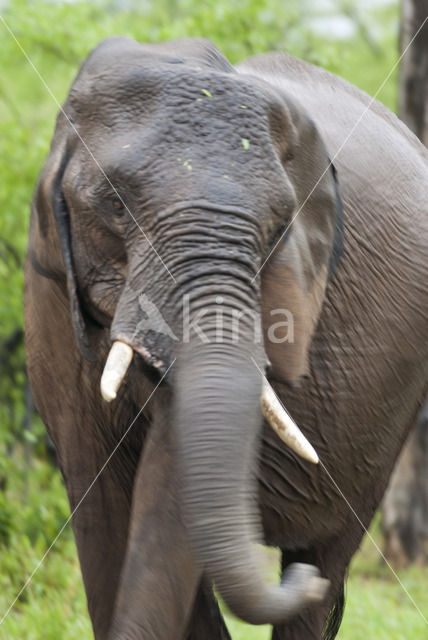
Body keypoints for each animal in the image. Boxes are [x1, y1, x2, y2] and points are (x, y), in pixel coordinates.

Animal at [24, 36, 428, 640]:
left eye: (278, 227)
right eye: (115, 205)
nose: (303, 582)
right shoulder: (50, 294)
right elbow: (102, 505)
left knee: (328, 553)